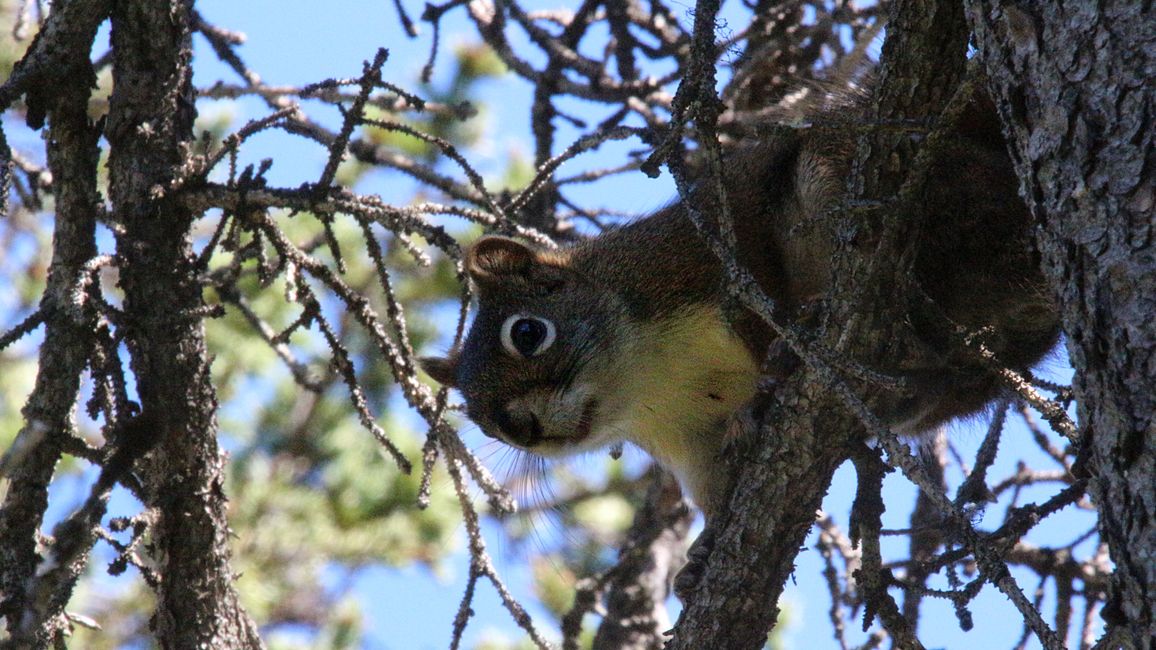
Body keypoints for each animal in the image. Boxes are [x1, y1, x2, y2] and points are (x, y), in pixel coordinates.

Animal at [420, 89, 1058, 515]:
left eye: (527, 333)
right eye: (482, 420)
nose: (522, 428)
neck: (644, 378)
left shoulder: (709, 251)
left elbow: (761, 304)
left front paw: (769, 376)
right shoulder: (688, 440)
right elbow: (712, 490)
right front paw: (701, 554)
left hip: (855, 181)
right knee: (955, 381)